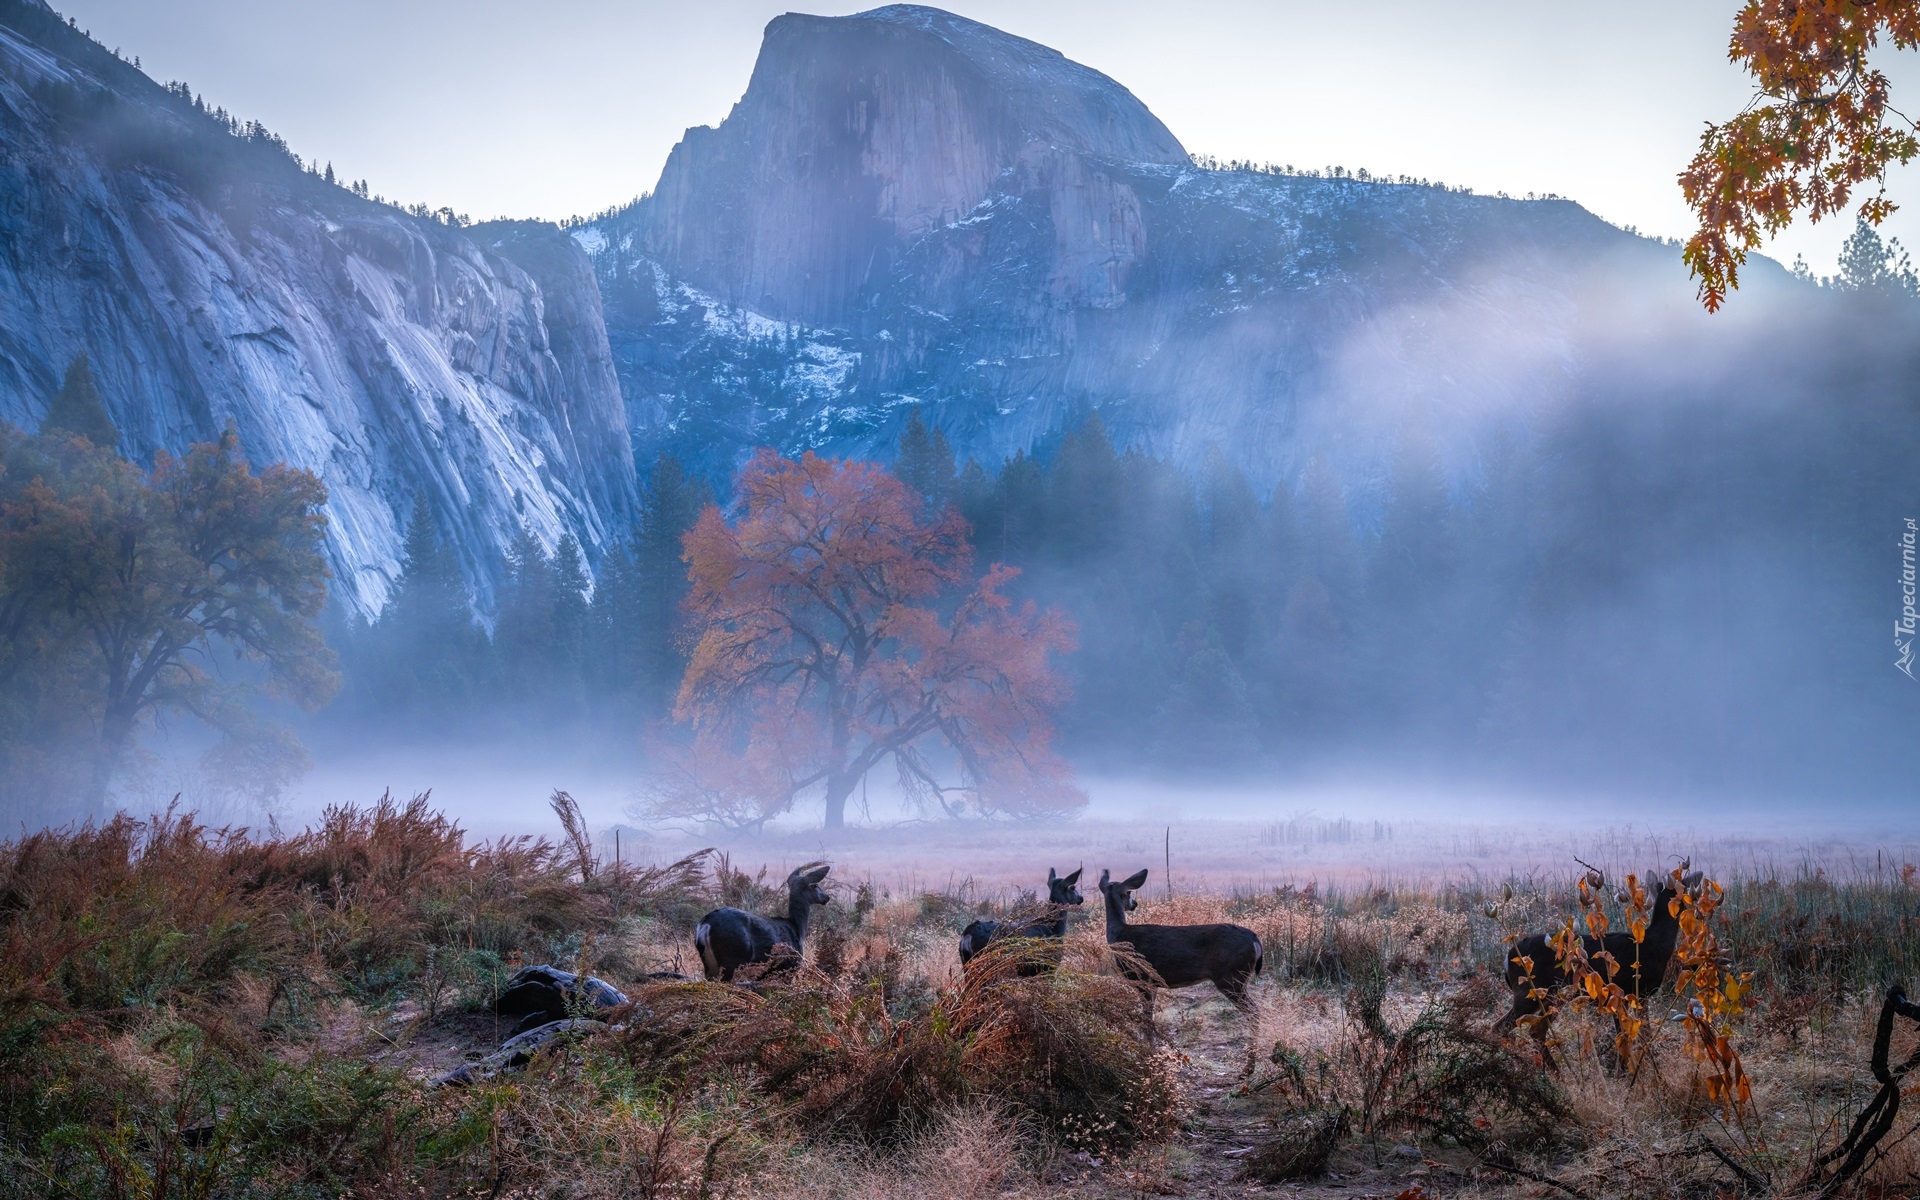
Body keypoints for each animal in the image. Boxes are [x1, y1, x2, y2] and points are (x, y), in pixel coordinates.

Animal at [698, 864, 833, 979]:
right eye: (815, 885)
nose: (827, 897)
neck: (797, 928)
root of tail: (706, 924)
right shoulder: (790, 965)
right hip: (733, 957)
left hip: (709, 964)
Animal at [1098, 864, 1259, 1021]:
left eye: (1129, 892)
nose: (1135, 904)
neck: (1118, 934)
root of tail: (1255, 939)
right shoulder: (1152, 982)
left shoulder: (1140, 976)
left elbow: (1147, 1016)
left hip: (1230, 976)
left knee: (1254, 1012)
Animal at [1489, 860, 1689, 1067]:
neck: (1654, 944)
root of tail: (1508, 957)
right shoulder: (1624, 990)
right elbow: (1628, 1036)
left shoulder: (1637, 996)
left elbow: (1640, 1034)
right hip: (1529, 990)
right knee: (1501, 1027)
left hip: (1552, 996)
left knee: (1536, 1030)